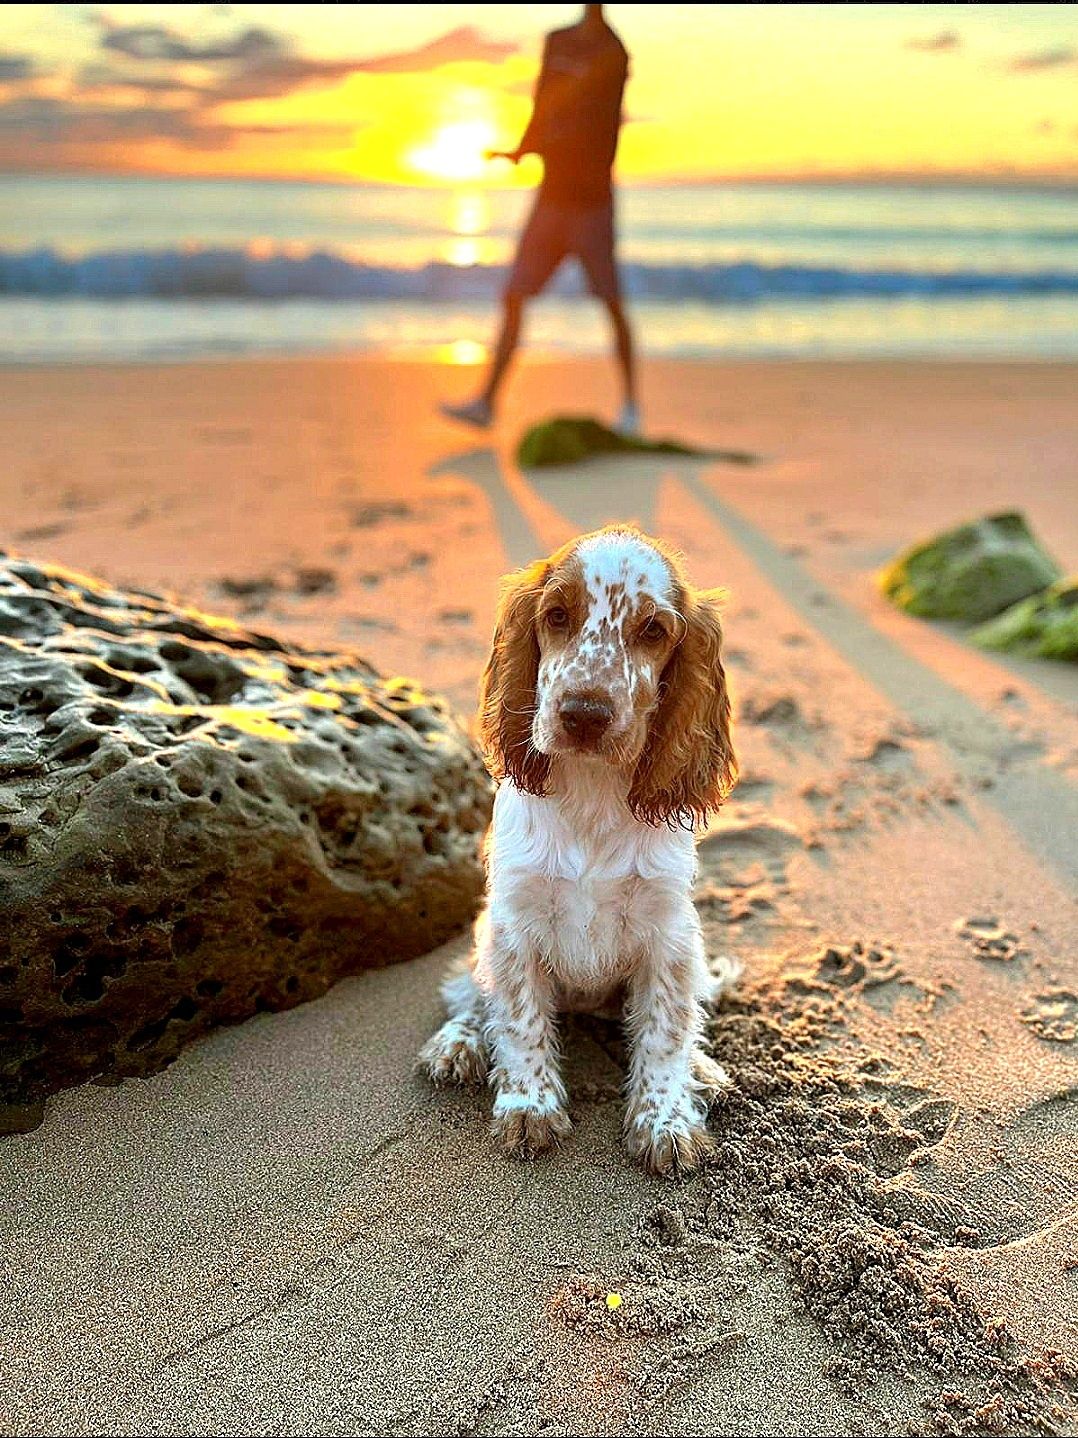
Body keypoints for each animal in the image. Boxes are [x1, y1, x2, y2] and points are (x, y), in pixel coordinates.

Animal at [416, 523, 741, 1173]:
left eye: (652, 630)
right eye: (557, 616)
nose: (584, 714)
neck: (592, 798)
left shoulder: (669, 932)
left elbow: (666, 1030)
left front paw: (666, 1121)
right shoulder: (513, 923)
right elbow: (518, 1020)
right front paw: (529, 1109)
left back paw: (705, 1071)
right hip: (482, 935)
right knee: (469, 995)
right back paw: (457, 1045)